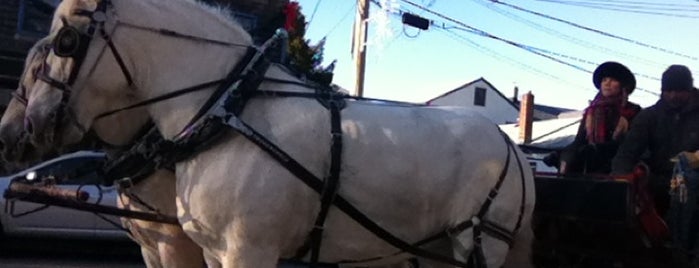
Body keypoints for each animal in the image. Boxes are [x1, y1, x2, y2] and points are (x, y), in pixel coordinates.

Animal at [21, 0, 536, 268]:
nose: (31, 124)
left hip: (479, 241)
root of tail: (510, 147)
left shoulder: (249, 250)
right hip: (434, 247)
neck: (229, 112)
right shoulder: (212, 252)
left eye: (65, 41)